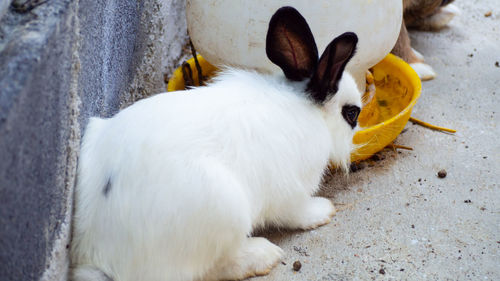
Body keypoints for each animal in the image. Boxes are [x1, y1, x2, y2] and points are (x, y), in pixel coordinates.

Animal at [70, 6, 360, 280]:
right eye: (351, 114)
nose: (354, 142)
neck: (306, 106)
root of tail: (99, 257)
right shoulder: (290, 190)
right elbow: (297, 212)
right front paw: (324, 211)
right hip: (225, 210)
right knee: (207, 269)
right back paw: (263, 255)